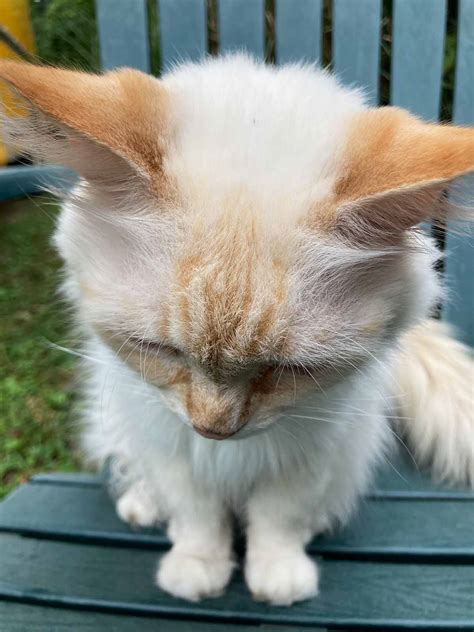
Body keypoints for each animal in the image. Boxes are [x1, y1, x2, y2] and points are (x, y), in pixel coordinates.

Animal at [0, 55, 474, 608]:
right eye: (157, 349)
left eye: (290, 370)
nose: (213, 429)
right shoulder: (169, 442)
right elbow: (197, 516)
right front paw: (197, 569)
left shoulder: (309, 450)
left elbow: (278, 519)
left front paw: (278, 575)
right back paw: (143, 505)